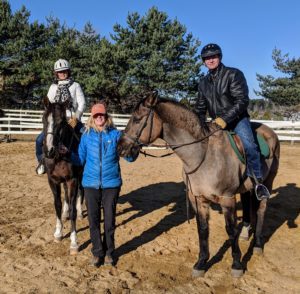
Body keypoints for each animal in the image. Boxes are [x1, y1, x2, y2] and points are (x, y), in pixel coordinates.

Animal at [42, 97, 83, 254]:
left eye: (61, 121)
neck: (60, 157)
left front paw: (74, 242)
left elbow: (73, 208)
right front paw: (58, 233)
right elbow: (58, 204)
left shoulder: (73, 180)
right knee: (66, 195)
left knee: (80, 193)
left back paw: (81, 213)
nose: (49, 150)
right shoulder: (53, 181)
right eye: (44, 119)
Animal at [116, 92, 278, 278]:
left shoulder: (227, 199)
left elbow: (230, 230)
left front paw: (237, 264)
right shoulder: (198, 199)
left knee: (261, 210)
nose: (120, 148)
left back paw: (257, 243)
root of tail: (269, 131)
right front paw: (201, 262)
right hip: (247, 188)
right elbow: (202, 229)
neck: (203, 155)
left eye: (137, 119)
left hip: (268, 183)